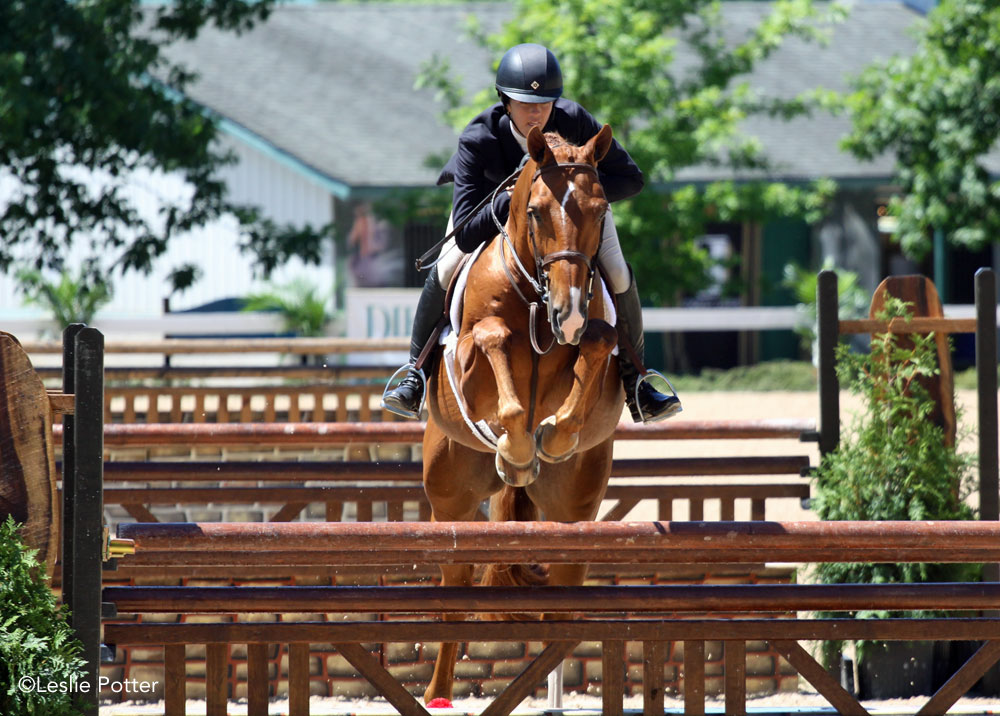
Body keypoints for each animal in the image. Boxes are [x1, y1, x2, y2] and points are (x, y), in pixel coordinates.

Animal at [418, 126, 620, 704]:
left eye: (601, 208)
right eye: (534, 211)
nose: (567, 313)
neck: (534, 292)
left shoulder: (595, 347)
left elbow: (600, 342)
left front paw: (553, 437)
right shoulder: (469, 366)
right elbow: (491, 339)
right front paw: (516, 445)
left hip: (573, 516)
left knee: (563, 601)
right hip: (451, 503)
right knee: (452, 595)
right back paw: (437, 692)